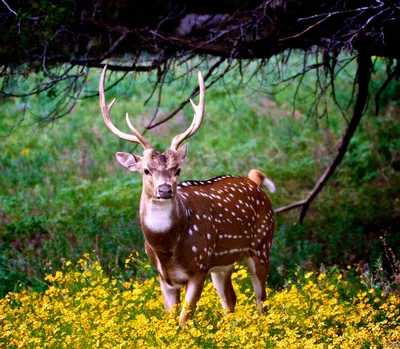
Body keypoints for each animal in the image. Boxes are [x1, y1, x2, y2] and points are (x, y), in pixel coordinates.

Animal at [99, 65, 276, 324]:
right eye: (146, 169)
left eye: (178, 169)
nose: (165, 189)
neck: (167, 249)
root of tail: (254, 182)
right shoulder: (164, 278)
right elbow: (172, 319)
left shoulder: (198, 266)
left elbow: (184, 319)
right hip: (222, 263)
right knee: (230, 299)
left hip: (262, 244)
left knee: (262, 298)